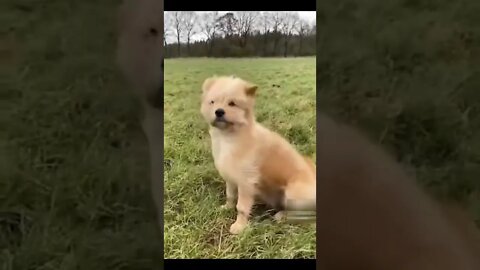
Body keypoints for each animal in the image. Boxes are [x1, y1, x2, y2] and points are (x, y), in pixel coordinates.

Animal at [199, 75, 316, 233]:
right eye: (212, 102)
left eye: (232, 103)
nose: (219, 112)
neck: (229, 136)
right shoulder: (230, 176)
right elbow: (230, 195)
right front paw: (226, 208)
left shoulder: (246, 181)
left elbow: (241, 207)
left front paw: (239, 226)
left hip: (293, 194)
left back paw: (281, 216)